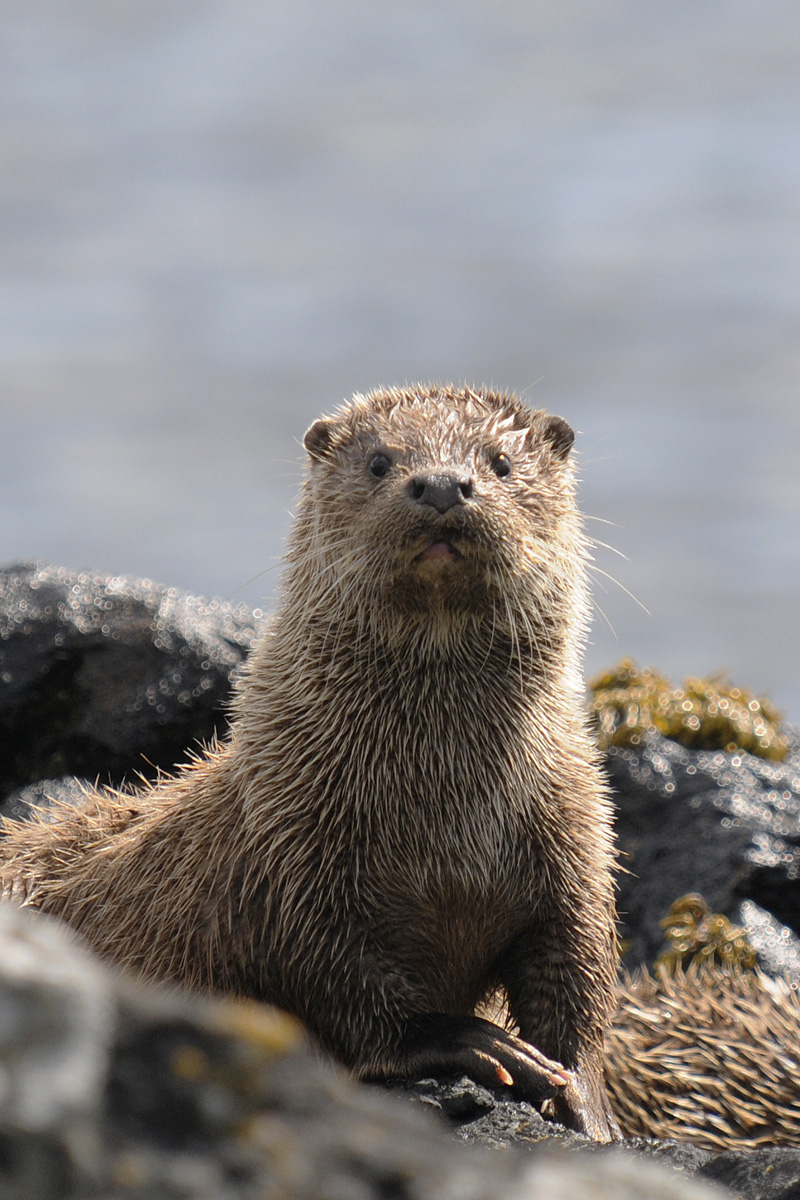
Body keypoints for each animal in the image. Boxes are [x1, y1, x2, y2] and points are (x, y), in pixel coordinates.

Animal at [0, 384, 618, 1142]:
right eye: (380, 462)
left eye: (500, 463)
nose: (443, 484)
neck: (448, 821)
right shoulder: (291, 855)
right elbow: (332, 977)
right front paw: (468, 1041)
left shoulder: (576, 836)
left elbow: (578, 968)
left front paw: (585, 1099)